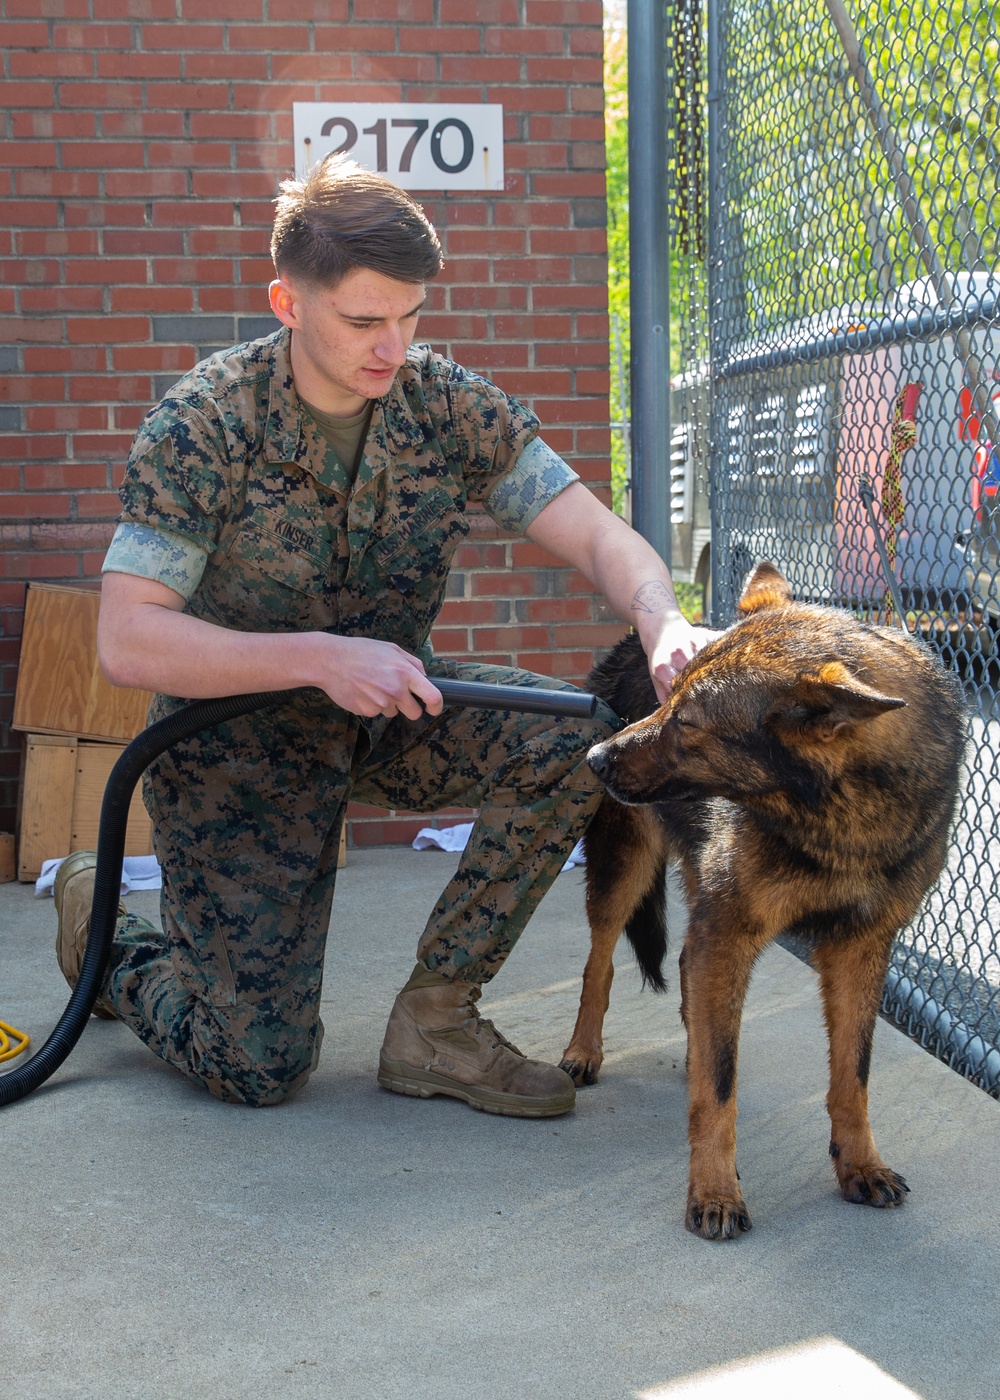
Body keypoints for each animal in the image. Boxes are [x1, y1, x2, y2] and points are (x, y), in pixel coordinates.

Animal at [557, 562, 963, 1243]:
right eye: (667, 698)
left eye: (687, 723)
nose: (595, 757)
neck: (835, 823)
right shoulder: (728, 936)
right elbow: (718, 1091)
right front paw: (715, 1192)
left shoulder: (859, 950)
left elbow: (852, 1076)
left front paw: (860, 1164)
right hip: (624, 871)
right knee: (599, 964)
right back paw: (583, 1051)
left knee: (685, 978)